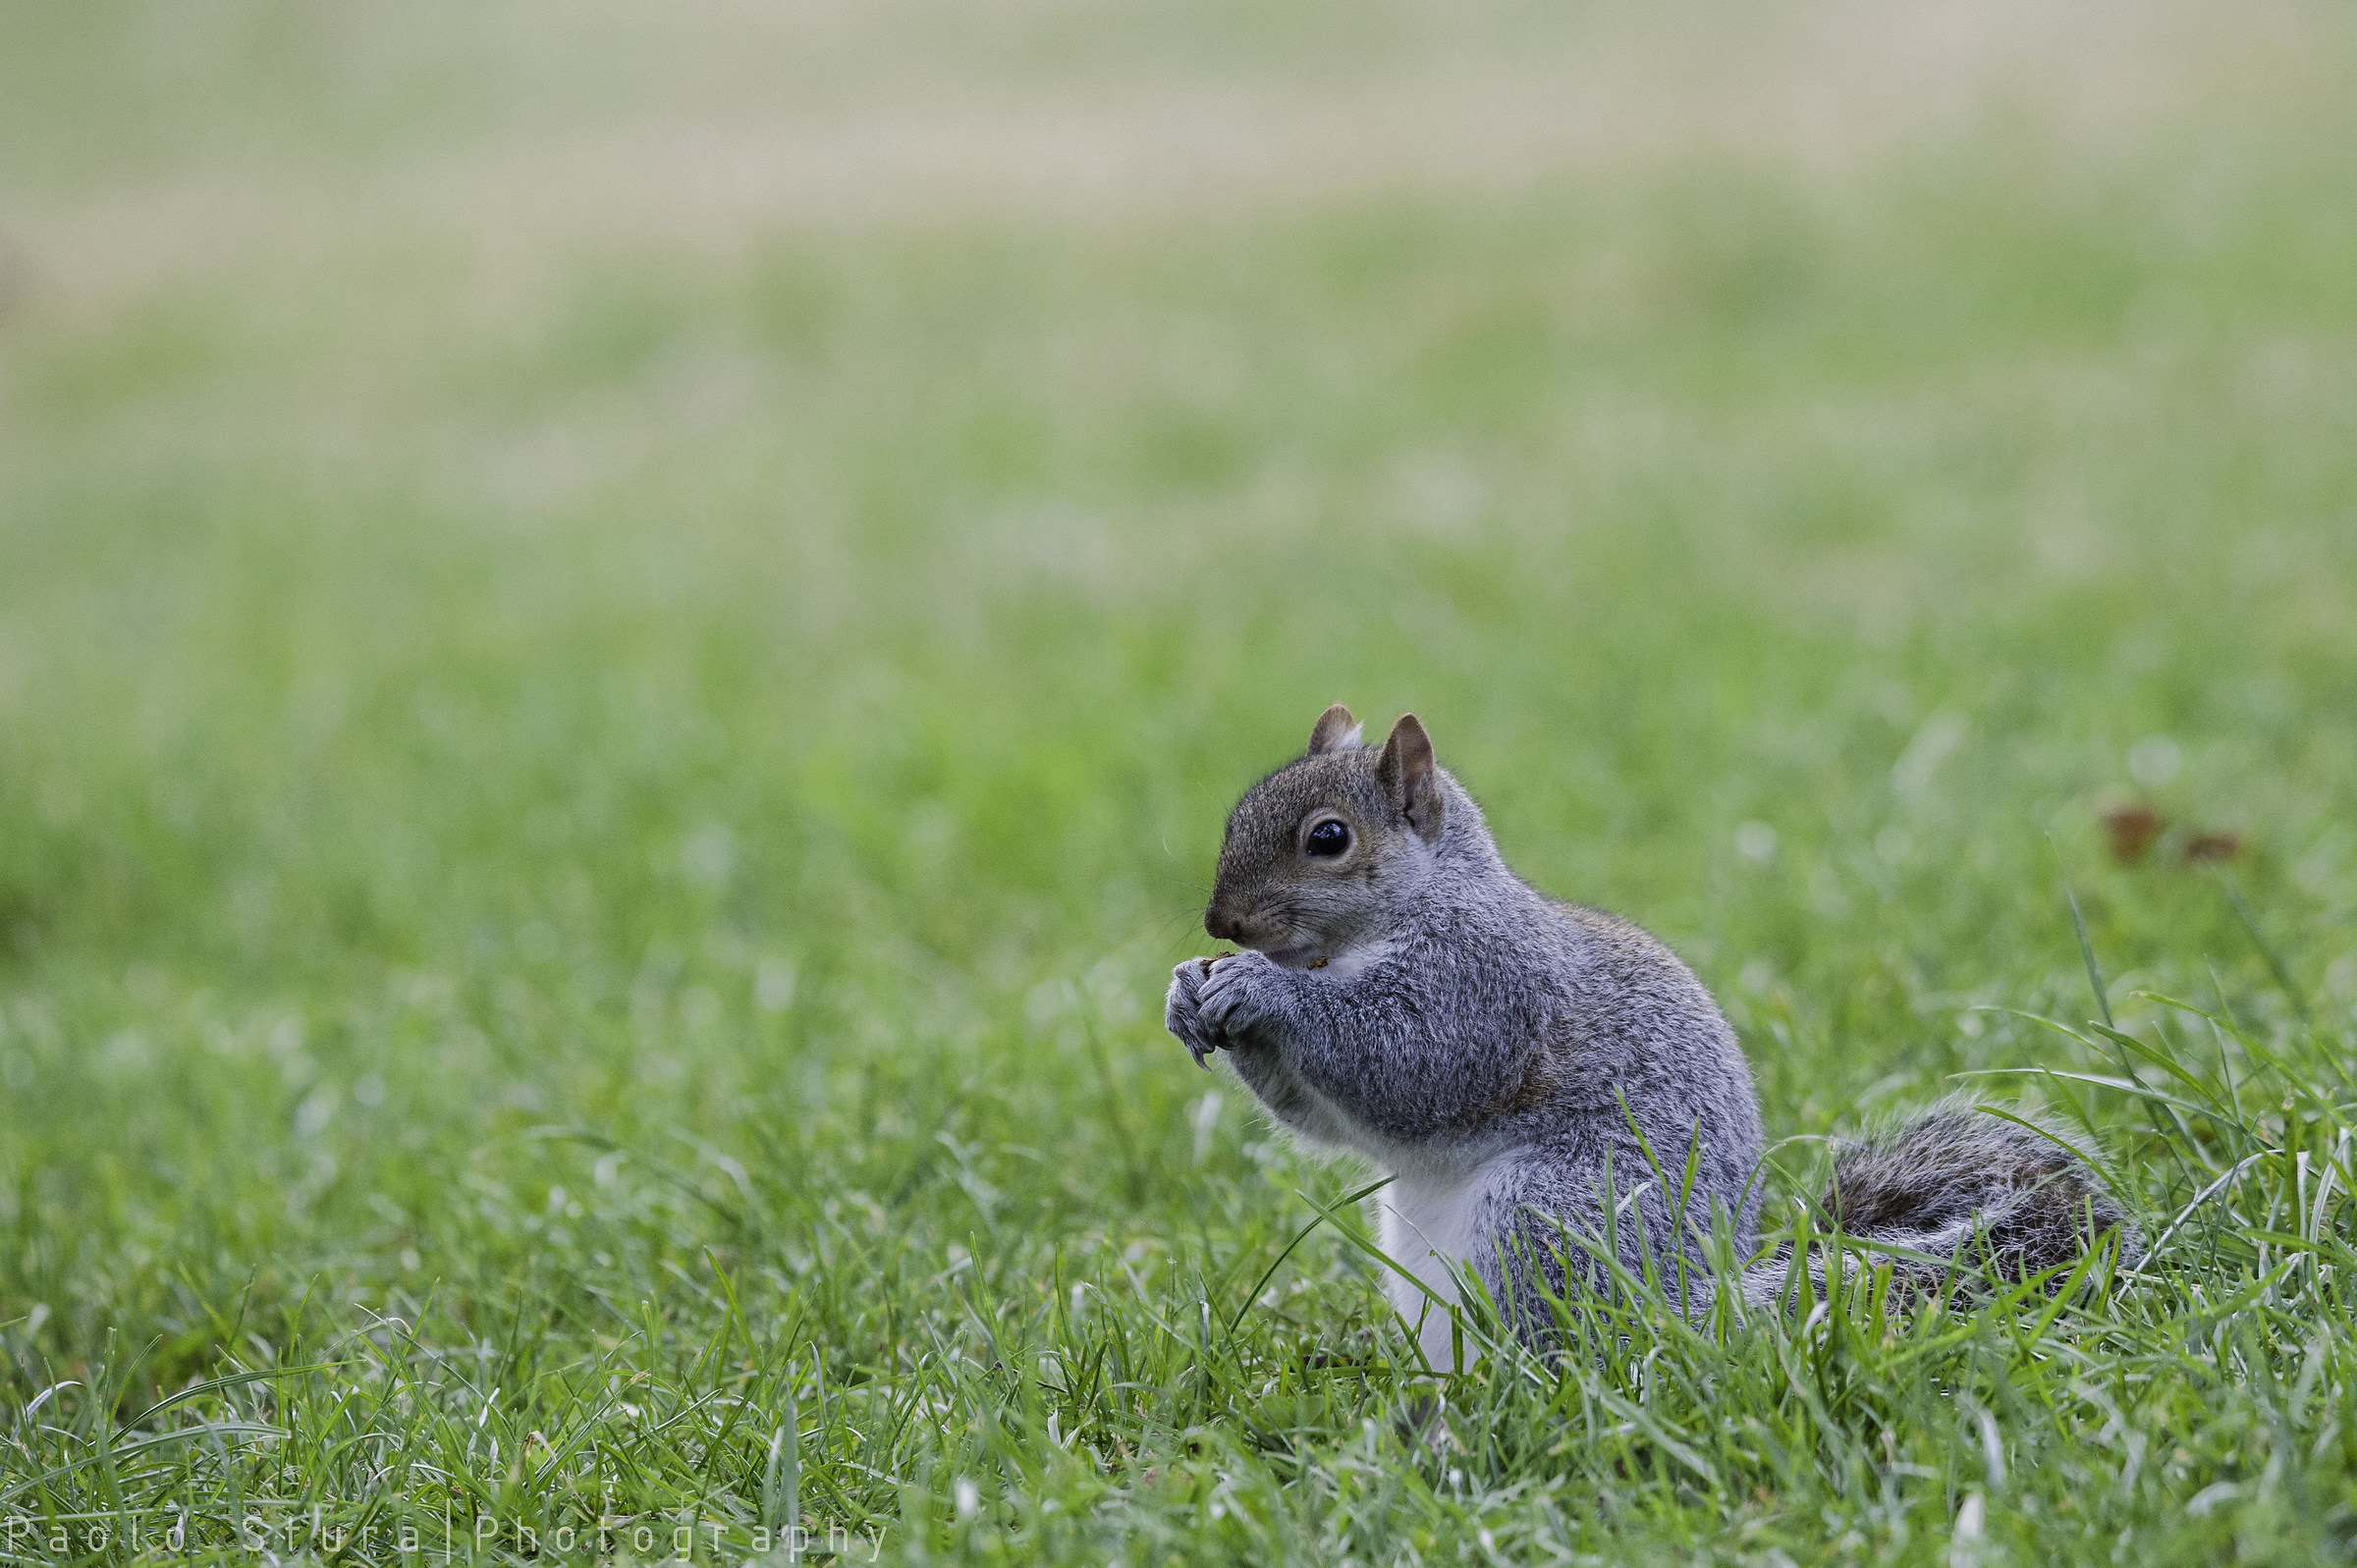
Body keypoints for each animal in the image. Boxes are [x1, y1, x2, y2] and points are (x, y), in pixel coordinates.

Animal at [1164, 705, 2142, 1369]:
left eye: (1329, 837)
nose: (1219, 923)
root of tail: (1689, 1307)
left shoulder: (1486, 985)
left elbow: (1408, 1060)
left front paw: (1260, 987)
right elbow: (1327, 1116)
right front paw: (1187, 991)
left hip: (1551, 1221)